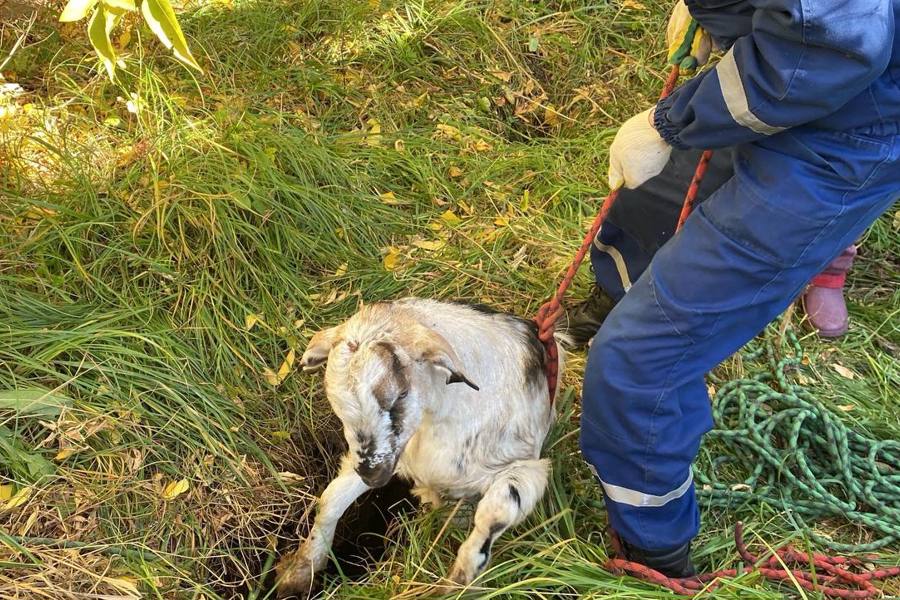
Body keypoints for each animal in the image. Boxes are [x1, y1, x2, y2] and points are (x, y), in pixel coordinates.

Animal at [278, 298, 568, 596]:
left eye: (400, 395)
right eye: (338, 407)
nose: (373, 476)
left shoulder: (526, 467)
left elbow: (498, 509)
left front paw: (459, 580)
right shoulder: (391, 457)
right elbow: (332, 498)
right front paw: (299, 571)